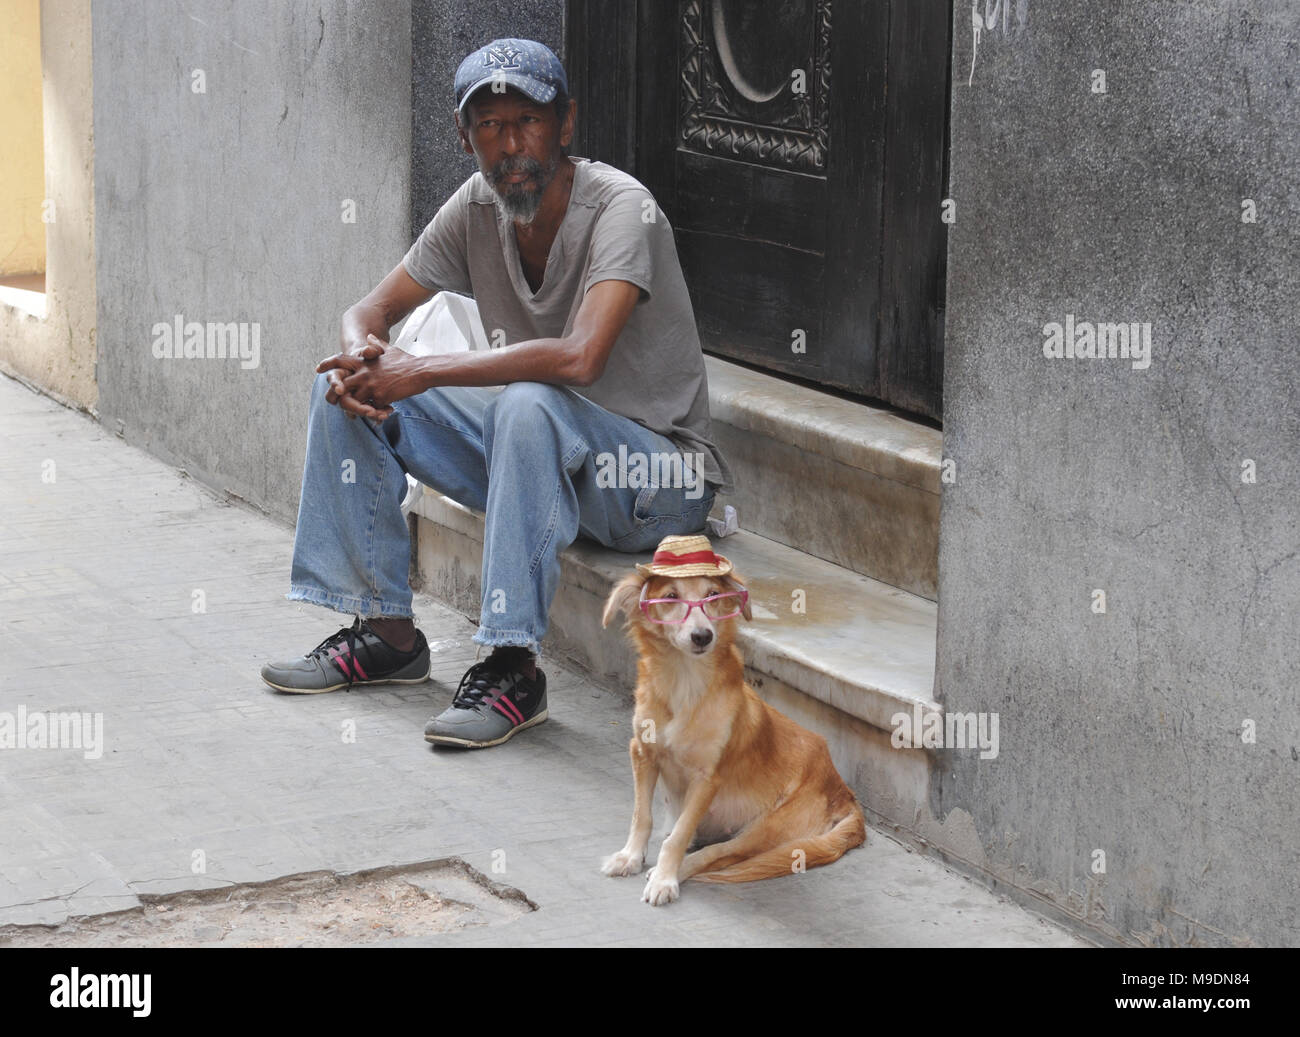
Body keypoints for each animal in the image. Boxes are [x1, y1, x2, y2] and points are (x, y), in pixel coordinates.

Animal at [595, 535, 863, 909]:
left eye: (711, 595)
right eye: (671, 597)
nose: (702, 636)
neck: (684, 682)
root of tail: (844, 792)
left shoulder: (707, 778)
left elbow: (678, 837)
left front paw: (664, 877)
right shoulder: (642, 752)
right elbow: (641, 816)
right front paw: (629, 857)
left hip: (766, 829)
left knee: (718, 853)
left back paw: (673, 870)